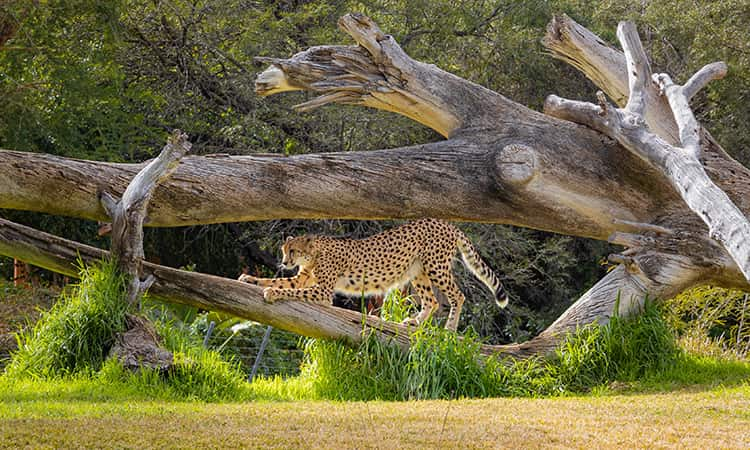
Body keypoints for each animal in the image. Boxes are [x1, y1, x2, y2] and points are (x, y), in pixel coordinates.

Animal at [239, 218, 512, 330]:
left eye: (293, 251)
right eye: (284, 251)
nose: (285, 261)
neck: (315, 252)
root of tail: (446, 223)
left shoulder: (323, 290)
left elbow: (290, 290)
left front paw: (272, 293)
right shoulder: (302, 277)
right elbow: (279, 281)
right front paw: (250, 279)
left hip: (436, 266)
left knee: (457, 295)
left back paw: (449, 329)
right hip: (418, 270)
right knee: (432, 300)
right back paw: (414, 322)